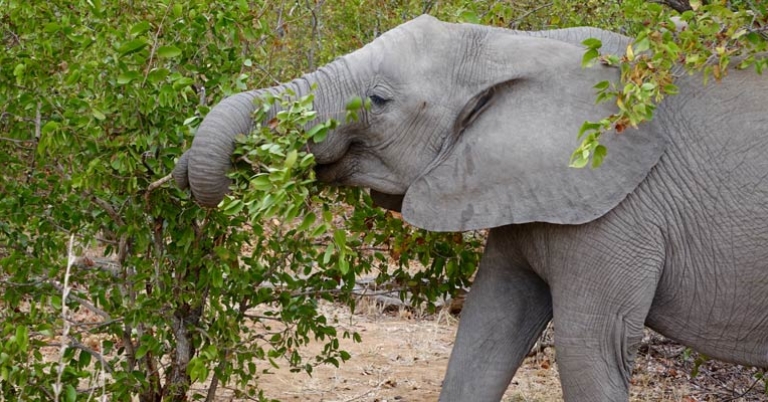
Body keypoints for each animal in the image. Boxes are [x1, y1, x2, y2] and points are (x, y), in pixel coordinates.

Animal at [173, 15, 768, 402]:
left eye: (379, 100)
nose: (179, 172)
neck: (519, 45)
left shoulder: (617, 214)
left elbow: (587, 350)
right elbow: (487, 327)